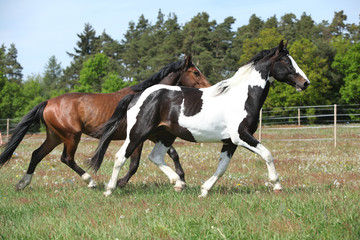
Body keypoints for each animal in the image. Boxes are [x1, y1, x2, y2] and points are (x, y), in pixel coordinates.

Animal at [0, 55, 211, 190]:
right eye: (195, 72)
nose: (209, 88)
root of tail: (48, 102)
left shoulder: (152, 134)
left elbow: (173, 153)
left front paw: (182, 178)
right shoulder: (139, 137)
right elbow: (134, 164)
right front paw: (120, 183)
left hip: (55, 136)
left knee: (36, 155)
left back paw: (22, 183)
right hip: (71, 136)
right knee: (66, 158)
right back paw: (90, 181)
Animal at [91, 39, 310, 197]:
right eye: (286, 61)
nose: (305, 83)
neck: (242, 96)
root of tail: (137, 95)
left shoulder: (230, 142)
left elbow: (222, 167)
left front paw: (204, 191)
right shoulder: (241, 136)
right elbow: (267, 154)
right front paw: (277, 185)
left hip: (165, 135)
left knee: (156, 157)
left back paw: (178, 183)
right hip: (138, 133)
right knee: (121, 157)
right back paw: (109, 190)